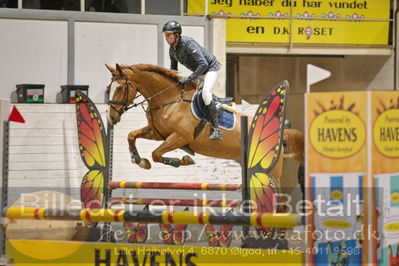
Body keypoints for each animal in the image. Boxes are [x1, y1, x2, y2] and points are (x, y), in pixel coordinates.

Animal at [104, 63, 304, 186]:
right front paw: (138, 160)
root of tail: (280, 134)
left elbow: (157, 154)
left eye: (120, 88)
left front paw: (182, 160)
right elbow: (132, 135)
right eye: (108, 89)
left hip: (272, 171)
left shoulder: (179, 137)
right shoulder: (156, 132)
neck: (168, 99)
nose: (111, 117)